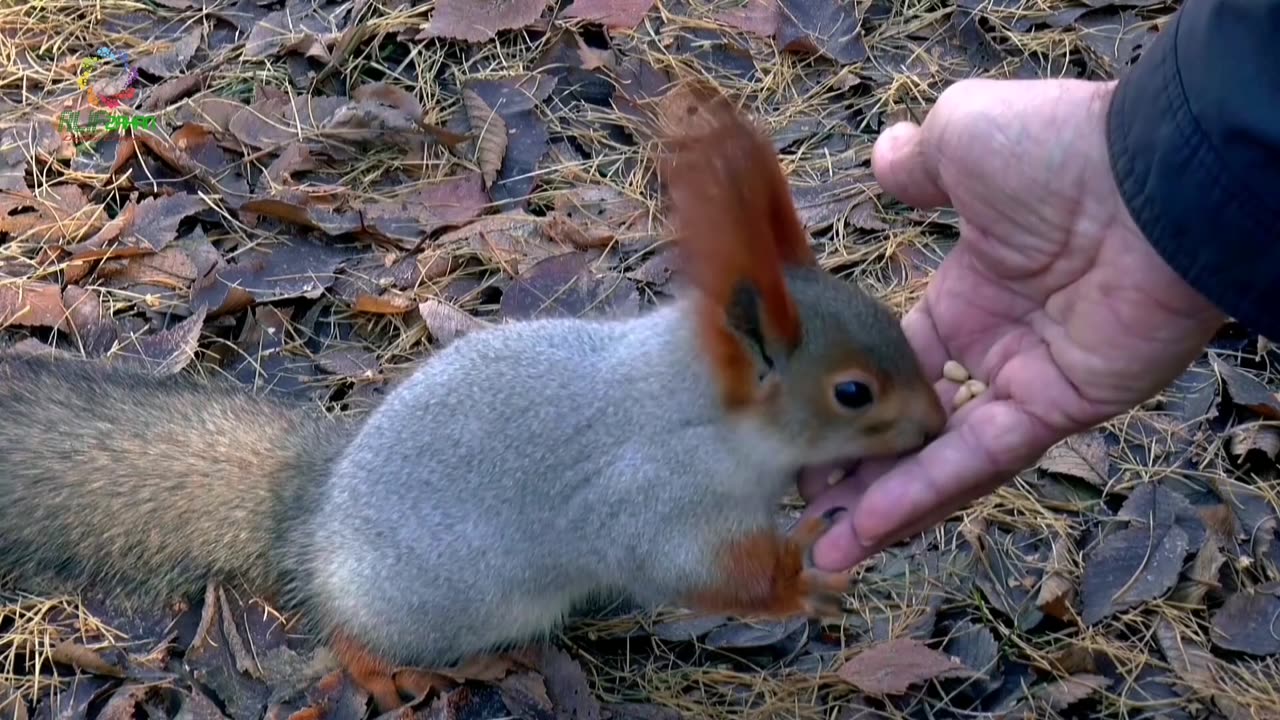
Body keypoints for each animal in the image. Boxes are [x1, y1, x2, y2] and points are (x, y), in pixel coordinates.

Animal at [0, 87, 942, 707]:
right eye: (853, 392)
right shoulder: (649, 496)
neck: (702, 410)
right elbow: (682, 569)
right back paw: (398, 671)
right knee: (352, 638)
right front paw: (798, 579)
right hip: (438, 604)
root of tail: (313, 522)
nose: (937, 424)